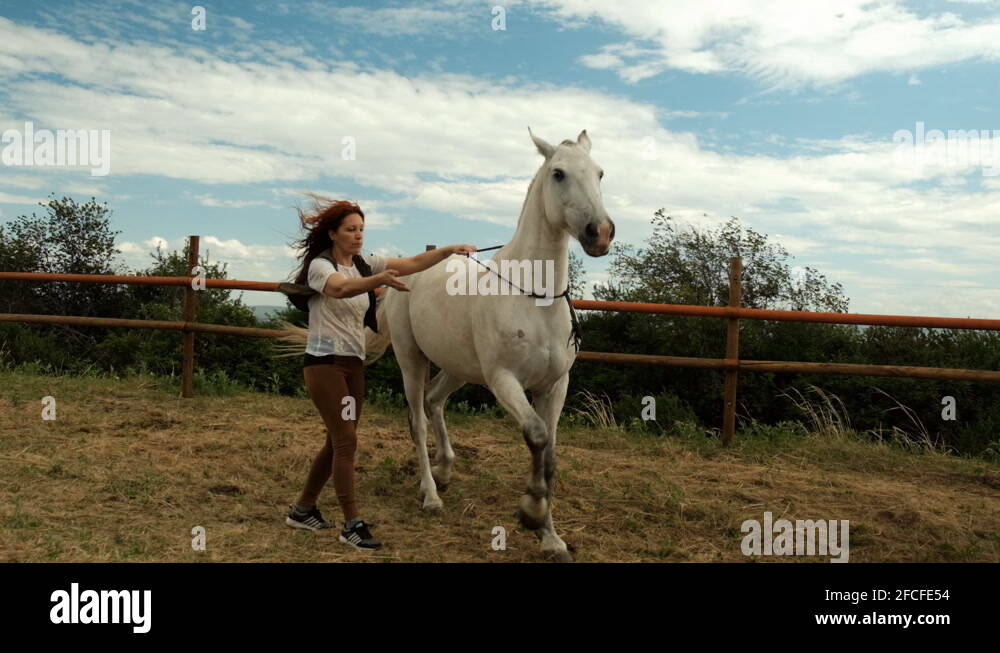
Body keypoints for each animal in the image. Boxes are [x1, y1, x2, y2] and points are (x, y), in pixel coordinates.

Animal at [280, 128, 614, 561]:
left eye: (600, 173)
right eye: (558, 173)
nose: (600, 233)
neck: (534, 297)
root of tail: (405, 273)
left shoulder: (555, 385)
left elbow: (551, 454)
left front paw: (552, 539)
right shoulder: (504, 381)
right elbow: (537, 436)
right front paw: (531, 512)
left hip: (457, 368)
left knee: (434, 401)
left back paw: (445, 468)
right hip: (412, 361)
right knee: (418, 419)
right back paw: (431, 494)